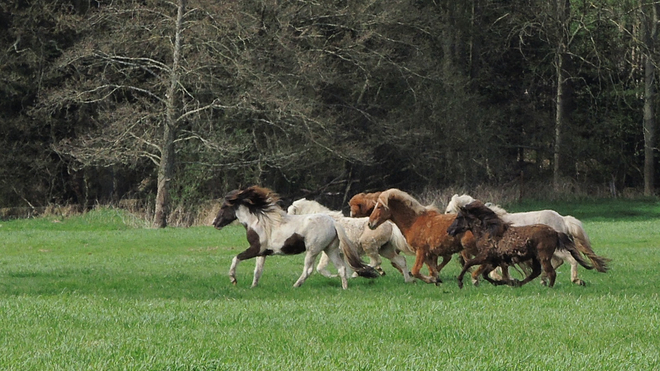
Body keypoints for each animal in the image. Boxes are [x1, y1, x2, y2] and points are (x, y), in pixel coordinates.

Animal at [214, 186, 378, 290]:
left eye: (224, 207)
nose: (215, 223)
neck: (259, 222)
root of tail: (333, 222)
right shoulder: (262, 253)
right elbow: (257, 271)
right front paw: (253, 286)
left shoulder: (255, 249)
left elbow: (236, 258)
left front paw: (233, 279)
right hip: (330, 250)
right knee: (342, 268)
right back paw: (344, 288)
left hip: (313, 251)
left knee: (309, 270)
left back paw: (295, 285)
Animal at [444, 193, 608, 286]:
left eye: (449, 211)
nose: (448, 230)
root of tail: (562, 219)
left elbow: (494, 270)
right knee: (557, 263)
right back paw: (543, 280)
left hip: (557, 250)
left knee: (571, 260)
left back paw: (575, 280)